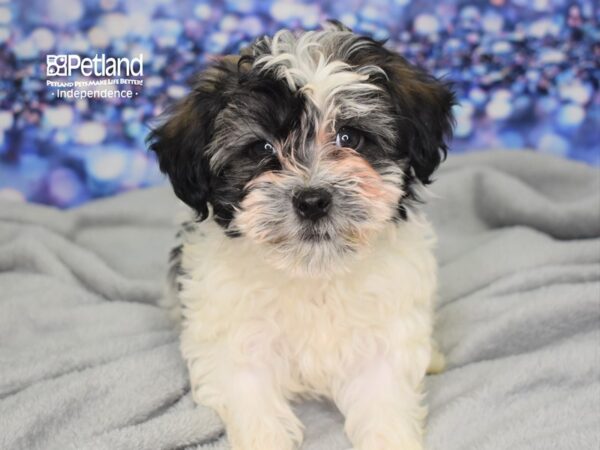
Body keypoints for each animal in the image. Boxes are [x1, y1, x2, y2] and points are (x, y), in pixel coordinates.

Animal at [149, 20, 454, 450]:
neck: (312, 271)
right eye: (261, 148)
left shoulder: (384, 335)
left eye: (350, 137)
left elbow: (383, 395)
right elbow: (251, 398)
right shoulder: (234, 341)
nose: (312, 200)